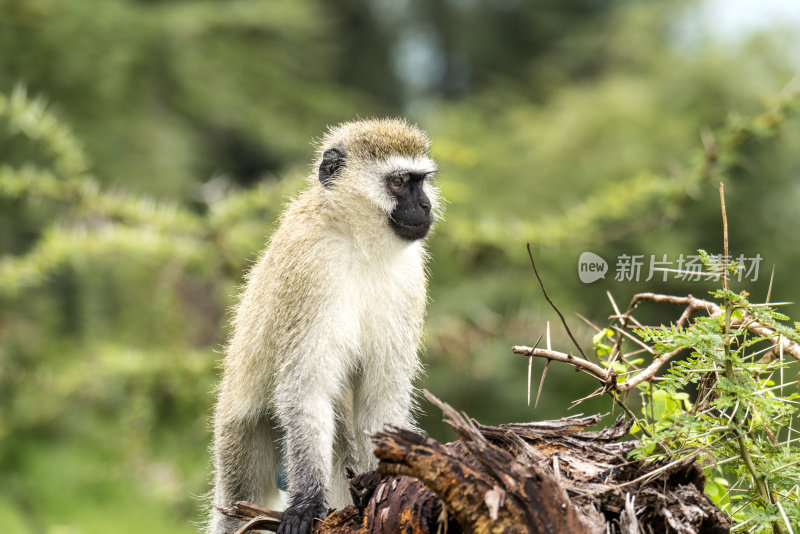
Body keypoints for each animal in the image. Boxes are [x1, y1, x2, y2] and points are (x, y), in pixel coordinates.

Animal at [209, 119, 440, 532]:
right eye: (399, 182)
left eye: (422, 182)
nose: (426, 205)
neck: (360, 243)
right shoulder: (310, 266)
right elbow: (308, 389)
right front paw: (307, 502)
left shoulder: (409, 278)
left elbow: (379, 397)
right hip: (240, 436)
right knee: (238, 504)